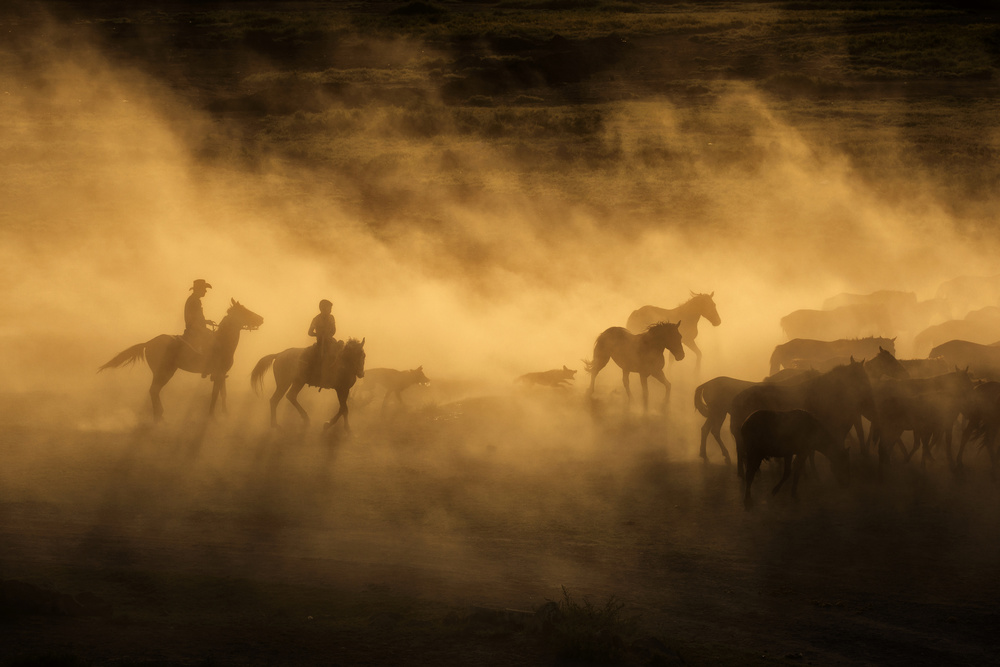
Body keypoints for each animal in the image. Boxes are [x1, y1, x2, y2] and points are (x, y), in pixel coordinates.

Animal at [99, 298, 264, 420]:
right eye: (244, 310)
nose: (261, 319)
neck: (222, 342)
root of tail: (149, 342)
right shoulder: (218, 374)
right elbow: (215, 395)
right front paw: (211, 415)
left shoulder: (222, 374)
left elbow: (223, 394)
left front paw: (225, 413)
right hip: (165, 372)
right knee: (154, 390)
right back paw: (158, 416)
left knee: (154, 391)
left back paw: (159, 414)